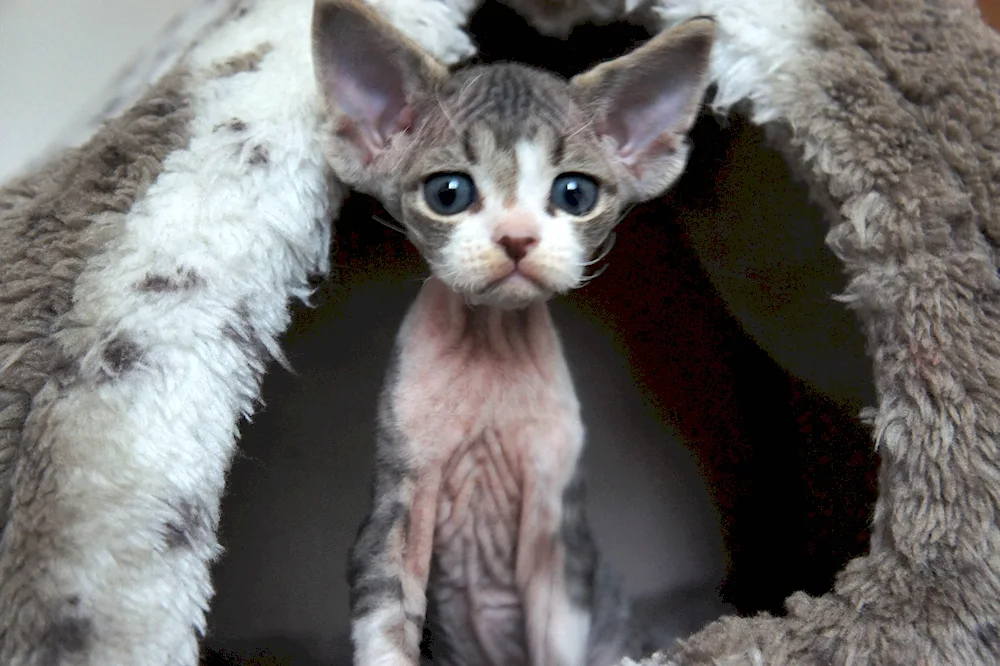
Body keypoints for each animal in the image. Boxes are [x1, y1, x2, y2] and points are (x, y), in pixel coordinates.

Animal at [310, 2, 712, 660]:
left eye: (575, 193)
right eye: (449, 193)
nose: (518, 238)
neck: (490, 341)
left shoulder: (559, 535)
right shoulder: (394, 509)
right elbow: (385, 626)